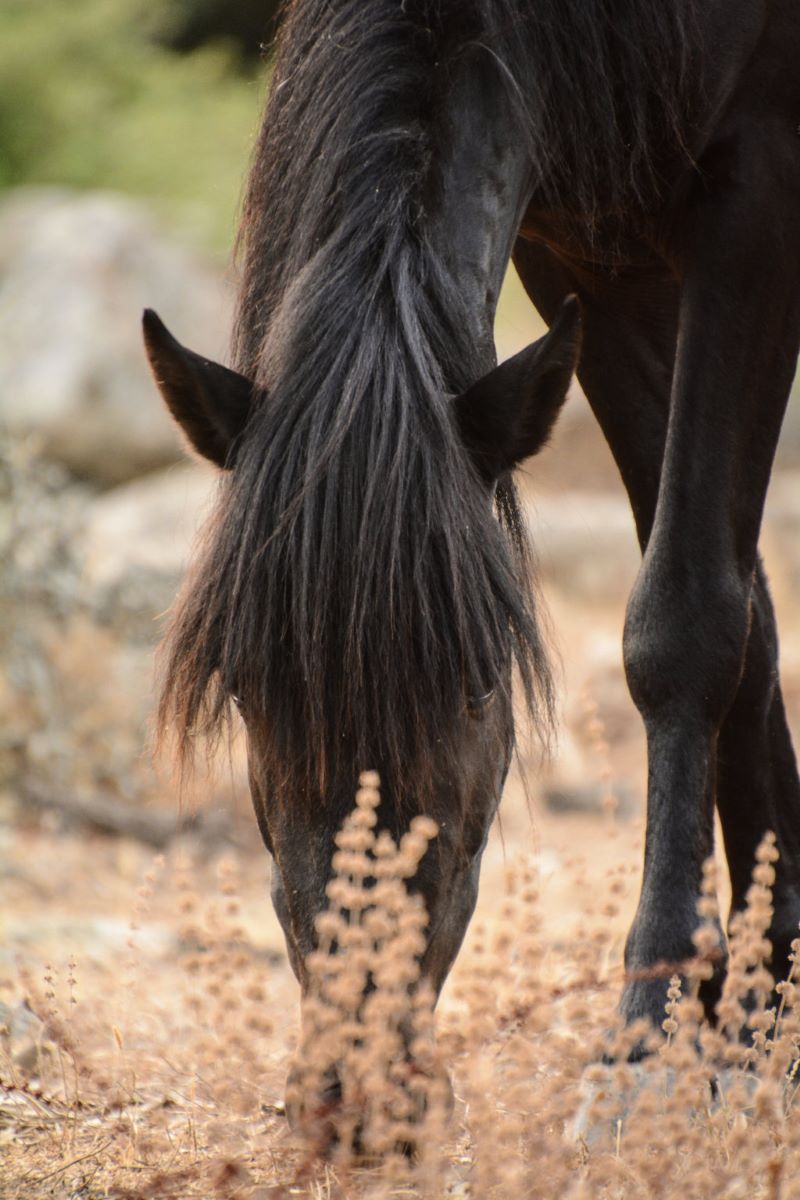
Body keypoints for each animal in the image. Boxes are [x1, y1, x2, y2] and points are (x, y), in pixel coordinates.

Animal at [143, 0, 800, 1070]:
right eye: (244, 688)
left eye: (481, 687)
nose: (356, 1080)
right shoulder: (588, 255)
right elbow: (741, 600)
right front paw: (755, 1000)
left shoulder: (757, 194)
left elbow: (688, 614)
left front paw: (649, 1038)